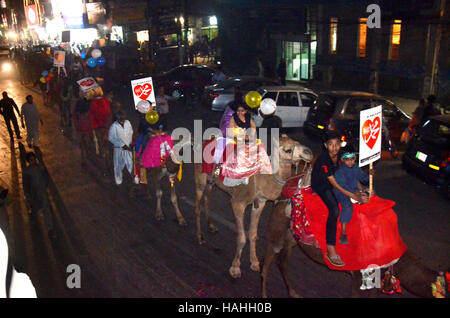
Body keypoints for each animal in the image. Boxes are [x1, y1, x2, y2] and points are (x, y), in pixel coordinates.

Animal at [193, 135, 312, 278]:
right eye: (288, 150)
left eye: (297, 142)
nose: (309, 152)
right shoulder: (238, 202)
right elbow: (242, 237)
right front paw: (235, 268)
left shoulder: (260, 203)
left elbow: (253, 233)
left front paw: (255, 263)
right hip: (200, 176)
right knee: (197, 205)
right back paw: (199, 237)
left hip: (211, 181)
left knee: (207, 197)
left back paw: (211, 226)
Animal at [260, 170, 442, 296]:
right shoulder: (359, 276)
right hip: (277, 228)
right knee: (268, 260)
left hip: (291, 237)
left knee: (282, 261)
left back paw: (293, 293)